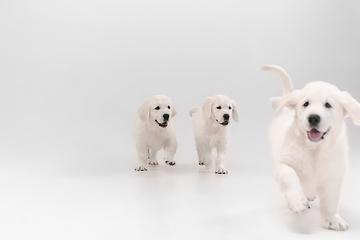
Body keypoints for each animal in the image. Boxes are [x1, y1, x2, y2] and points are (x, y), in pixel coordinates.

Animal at [260, 64, 360, 232]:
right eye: (305, 104)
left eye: (328, 105)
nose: (313, 117)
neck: (314, 149)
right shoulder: (283, 163)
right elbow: (290, 177)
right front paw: (298, 201)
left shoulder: (334, 174)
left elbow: (330, 199)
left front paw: (332, 219)